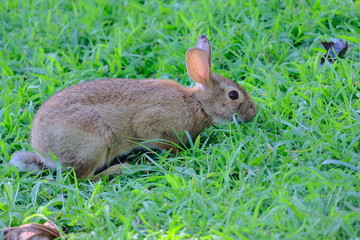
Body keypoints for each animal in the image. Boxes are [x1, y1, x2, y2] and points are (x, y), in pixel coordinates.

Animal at [10, 35, 256, 178]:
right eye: (233, 95)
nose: (253, 114)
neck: (197, 103)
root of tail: (45, 154)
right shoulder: (152, 125)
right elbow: (160, 140)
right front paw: (181, 154)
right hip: (95, 143)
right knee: (83, 178)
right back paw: (122, 169)